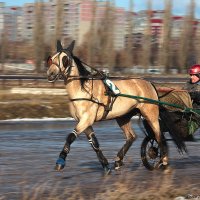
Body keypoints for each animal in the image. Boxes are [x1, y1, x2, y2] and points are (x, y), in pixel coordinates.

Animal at [46, 39, 167, 174]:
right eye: (51, 58)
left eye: (65, 59)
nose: (51, 73)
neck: (84, 91)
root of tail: (149, 83)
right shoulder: (84, 122)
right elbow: (94, 143)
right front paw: (105, 165)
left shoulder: (86, 119)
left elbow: (71, 137)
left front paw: (60, 161)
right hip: (123, 117)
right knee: (131, 136)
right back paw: (118, 160)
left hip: (151, 114)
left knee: (158, 136)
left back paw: (163, 161)